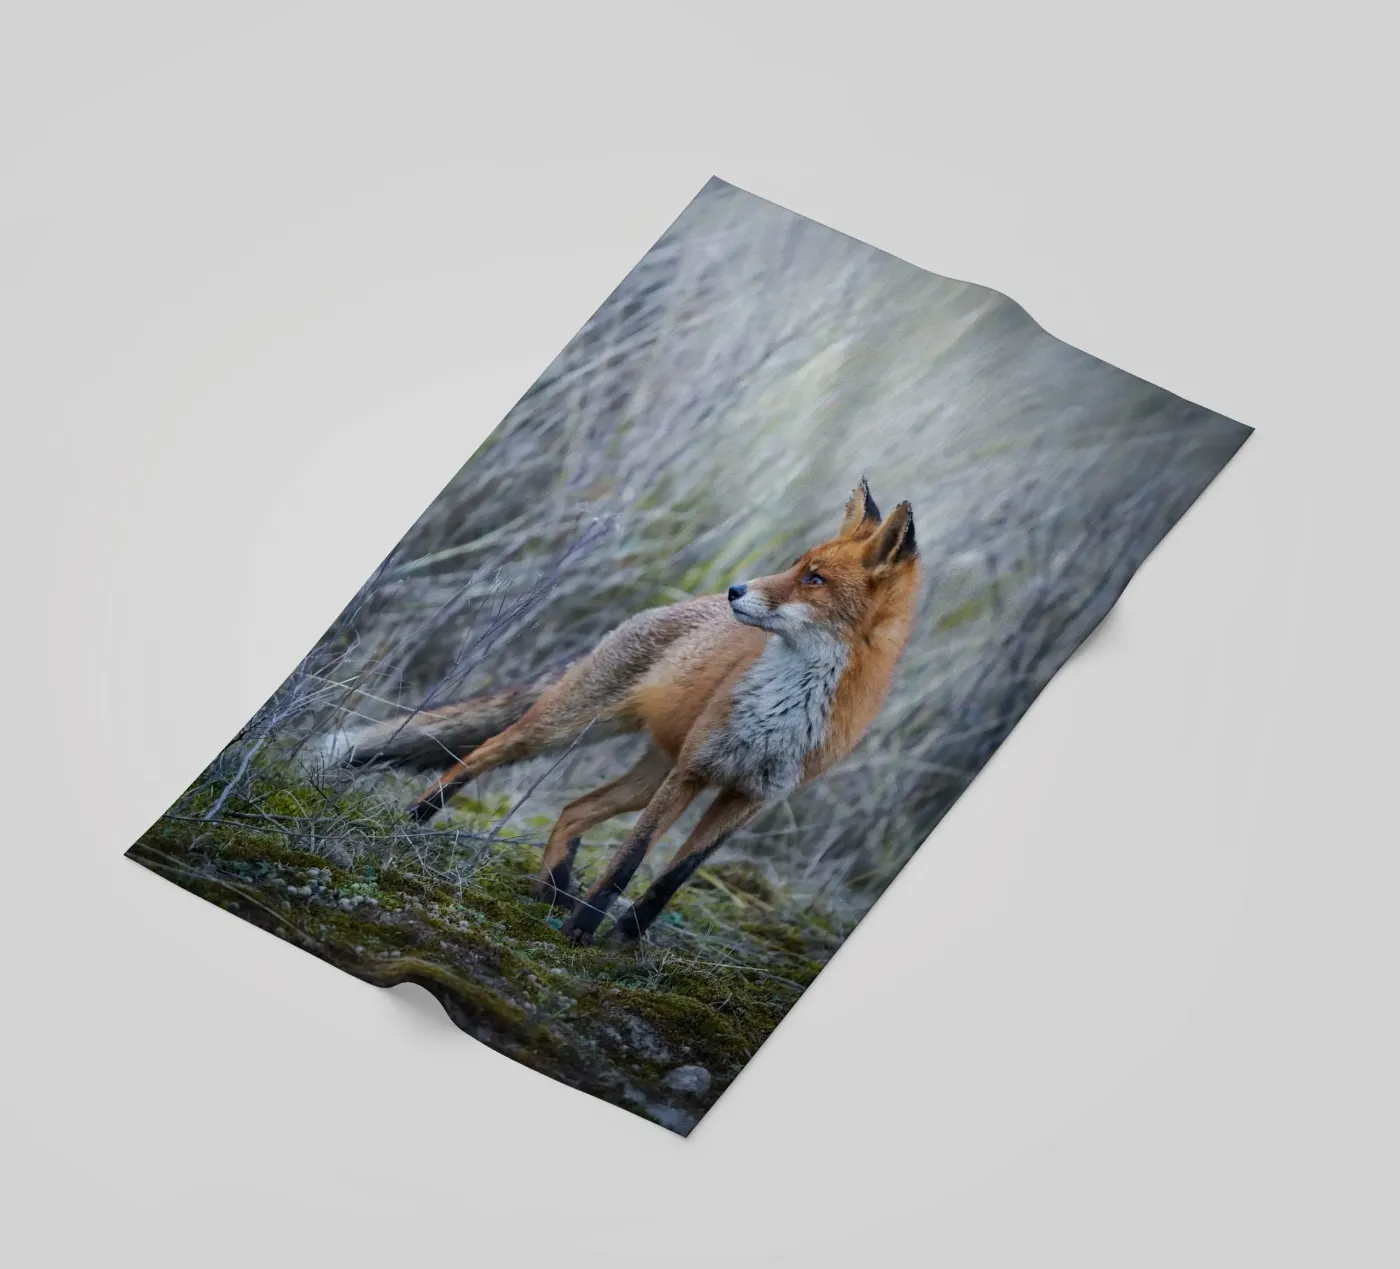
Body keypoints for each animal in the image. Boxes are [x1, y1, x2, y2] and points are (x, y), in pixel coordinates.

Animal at [394, 478, 920, 943]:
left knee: (574, 810)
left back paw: (553, 891)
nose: (735, 590)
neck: (783, 711)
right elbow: (630, 857)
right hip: (571, 726)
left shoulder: (750, 797)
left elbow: (674, 876)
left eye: (815, 579)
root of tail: (678, 606)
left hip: (649, 773)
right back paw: (415, 819)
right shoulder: (694, 769)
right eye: (795, 566)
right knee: (483, 752)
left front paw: (625, 939)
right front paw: (582, 932)